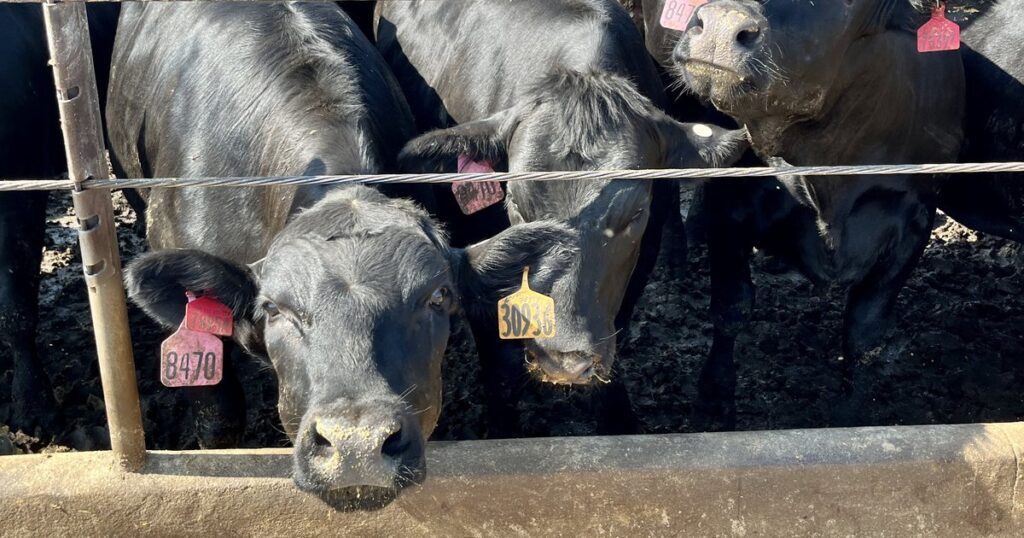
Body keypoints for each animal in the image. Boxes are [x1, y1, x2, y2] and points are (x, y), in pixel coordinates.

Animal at [661, 0, 965, 428]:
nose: (722, 23)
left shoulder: (915, 221)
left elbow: (864, 331)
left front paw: (850, 416)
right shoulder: (732, 205)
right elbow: (731, 306)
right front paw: (713, 404)